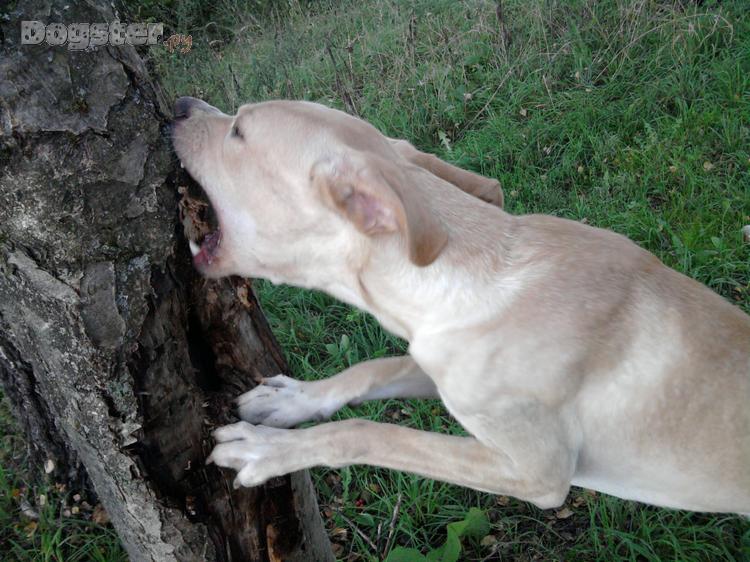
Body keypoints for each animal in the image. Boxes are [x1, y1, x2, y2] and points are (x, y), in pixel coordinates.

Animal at [172, 97, 749, 515]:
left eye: (239, 130)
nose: (177, 104)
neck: (476, 280)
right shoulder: (440, 365)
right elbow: (369, 369)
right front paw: (289, 402)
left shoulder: (536, 473)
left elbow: (368, 432)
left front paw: (266, 450)